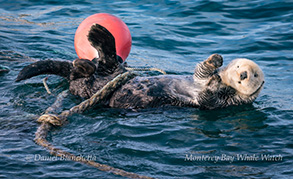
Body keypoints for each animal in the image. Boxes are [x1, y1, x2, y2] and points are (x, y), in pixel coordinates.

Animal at [14, 24, 264, 110]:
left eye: (252, 76)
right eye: (240, 66)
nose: (243, 74)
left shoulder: (226, 103)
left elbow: (207, 98)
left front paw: (213, 83)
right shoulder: (200, 78)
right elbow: (202, 70)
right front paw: (215, 61)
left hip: (95, 84)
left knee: (92, 70)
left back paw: (90, 50)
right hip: (114, 71)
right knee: (101, 64)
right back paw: (94, 43)